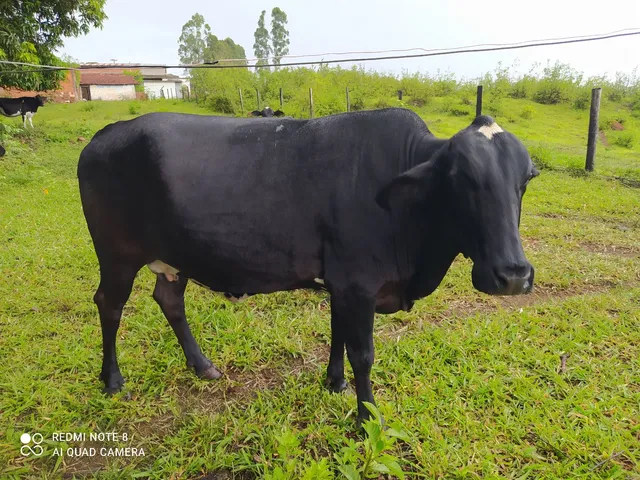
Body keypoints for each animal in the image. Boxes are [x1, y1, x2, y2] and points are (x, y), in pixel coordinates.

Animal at [77, 108, 538, 426]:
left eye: (525, 180)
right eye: (462, 178)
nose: (514, 275)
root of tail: (107, 132)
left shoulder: (342, 282)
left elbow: (338, 335)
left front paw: (334, 383)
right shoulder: (358, 284)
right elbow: (362, 353)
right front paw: (367, 417)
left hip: (178, 255)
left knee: (169, 299)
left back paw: (202, 365)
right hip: (117, 255)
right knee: (109, 305)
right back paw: (112, 379)